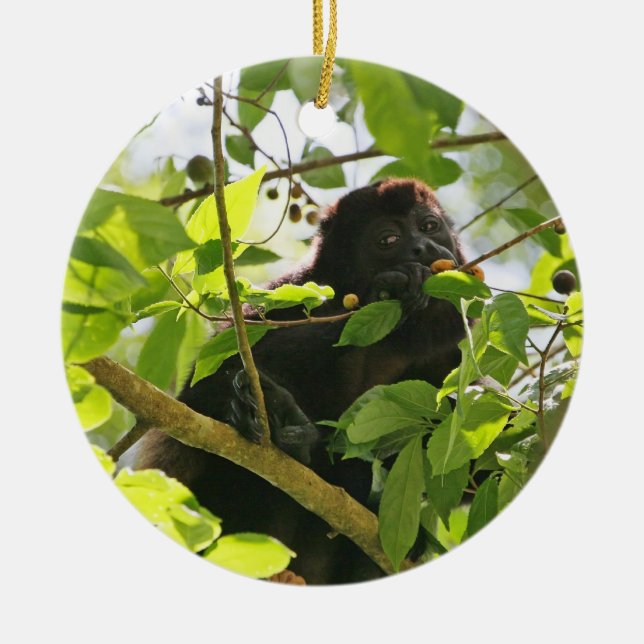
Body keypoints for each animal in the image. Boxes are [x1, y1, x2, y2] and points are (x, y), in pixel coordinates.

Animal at [136, 178, 468, 584]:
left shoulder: (450, 350)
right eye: (388, 239)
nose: (423, 247)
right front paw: (384, 294)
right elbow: (203, 390)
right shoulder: (287, 293)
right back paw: (283, 423)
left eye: (429, 226)